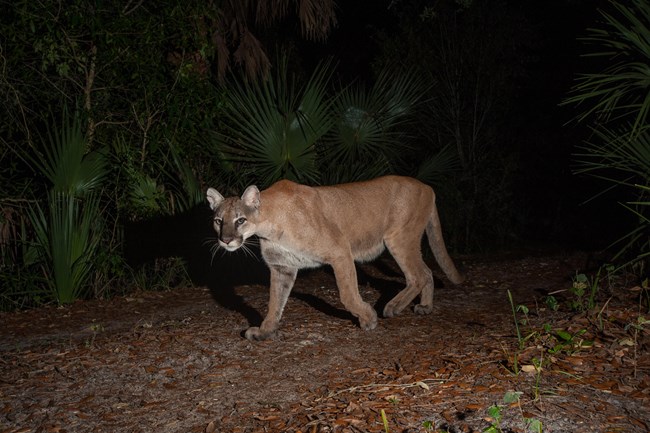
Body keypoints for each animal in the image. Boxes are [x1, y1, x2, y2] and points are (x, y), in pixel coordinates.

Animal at [205, 174, 464, 340]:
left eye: (240, 220)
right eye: (218, 220)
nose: (225, 240)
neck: (269, 224)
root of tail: (427, 186)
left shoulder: (339, 251)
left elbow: (347, 295)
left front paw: (368, 319)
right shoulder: (282, 267)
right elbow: (275, 303)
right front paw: (265, 331)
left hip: (399, 238)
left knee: (418, 275)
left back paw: (392, 307)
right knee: (427, 272)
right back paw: (425, 306)